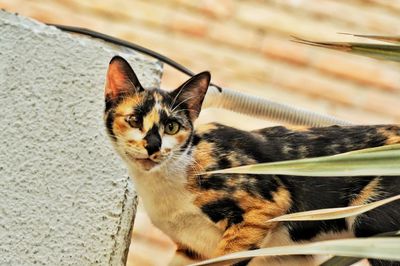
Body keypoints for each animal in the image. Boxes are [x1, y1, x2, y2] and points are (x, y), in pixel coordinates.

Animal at [104, 55, 400, 264]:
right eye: (134, 120)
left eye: (172, 127)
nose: (152, 145)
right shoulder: (192, 251)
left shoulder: (266, 205)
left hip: (372, 222)